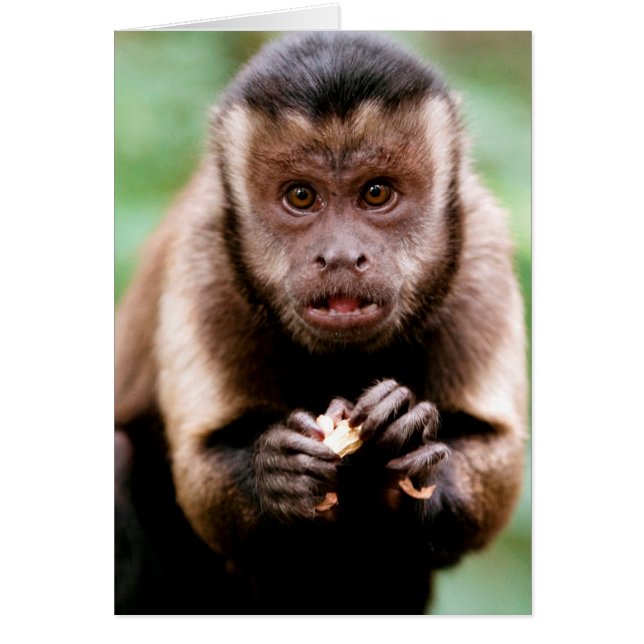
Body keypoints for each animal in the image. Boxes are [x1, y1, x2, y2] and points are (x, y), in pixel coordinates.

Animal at [115, 32, 528, 615]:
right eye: (301, 196)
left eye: (376, 193)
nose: (339, 256)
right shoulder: (205, 253)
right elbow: (200, 474)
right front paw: (276, 475)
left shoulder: (479, 247)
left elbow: (497, 453)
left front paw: (414, 444)